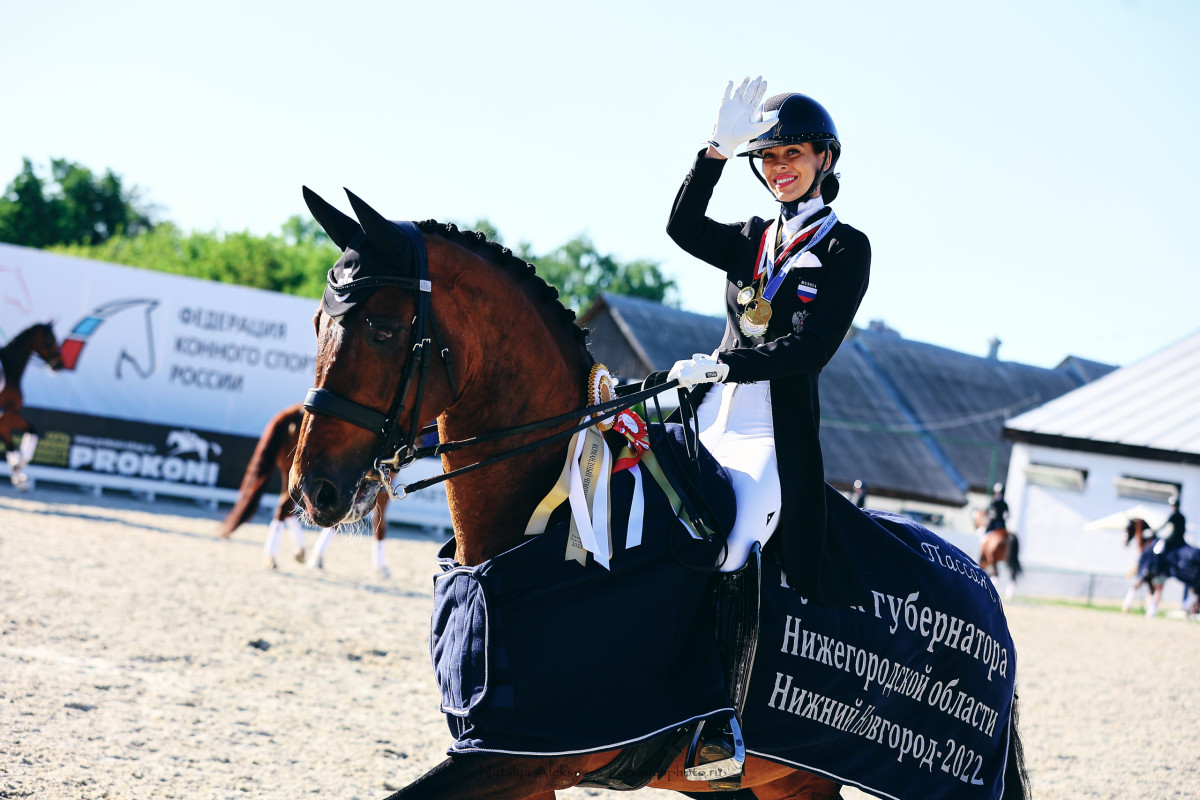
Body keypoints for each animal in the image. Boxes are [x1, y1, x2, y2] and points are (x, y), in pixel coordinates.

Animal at [0, 323, 64, 489]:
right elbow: (12, 446)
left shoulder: (7, 416)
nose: (59, 364)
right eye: (50, 340)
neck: (10, 371)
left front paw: (18, 473)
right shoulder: (6, 415)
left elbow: (32, 430)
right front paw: (18, 470)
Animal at [218, 407, 391, 575]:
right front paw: (381, 566)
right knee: (285, 507)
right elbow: (379, 522)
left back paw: (296, 551)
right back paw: (274, 555)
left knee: (287, 507)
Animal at [285, 191, 1027, 800]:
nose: (314, 489)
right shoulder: (516, 755)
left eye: (383, 330)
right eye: (317, 321)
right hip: (782, 782)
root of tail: (983, 591)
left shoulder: (521, 757)